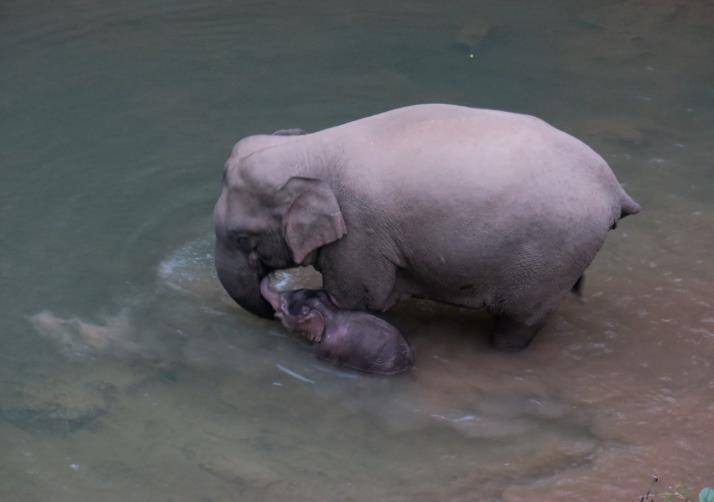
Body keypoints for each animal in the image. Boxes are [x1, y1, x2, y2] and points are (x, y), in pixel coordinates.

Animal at [213, 104, 640, 352]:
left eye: (242, 238)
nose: (272, 298)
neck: (314, 148)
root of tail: (614, 189)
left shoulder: (360, 235)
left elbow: (355, 299)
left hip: (549, 259)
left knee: (518, 323)